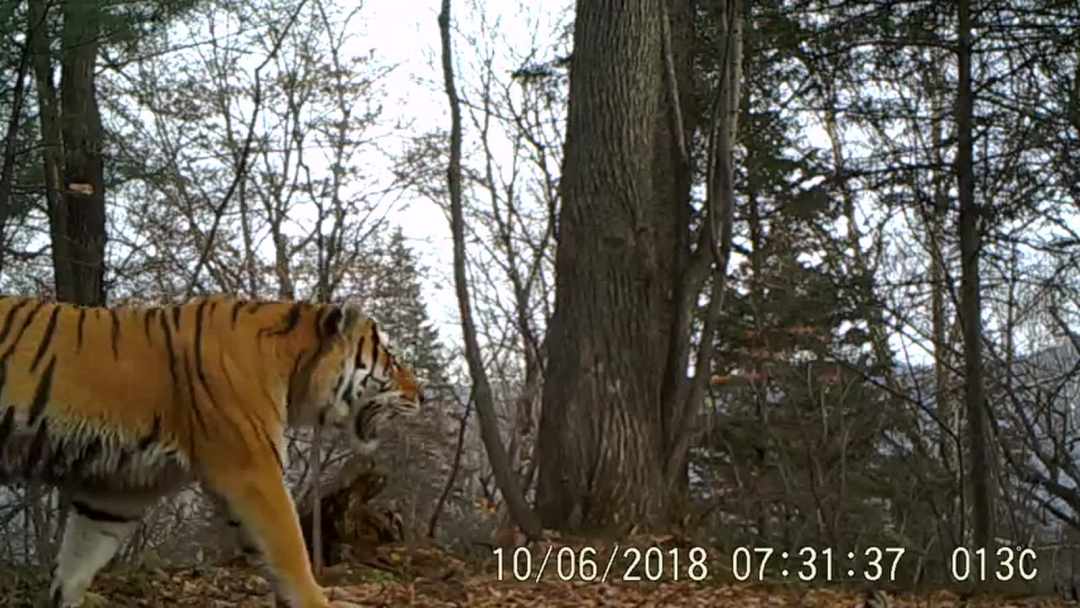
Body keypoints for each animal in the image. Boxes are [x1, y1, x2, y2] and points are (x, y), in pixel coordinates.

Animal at [0, 295, 425, 608]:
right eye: (392, 363)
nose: (422, 395)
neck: (293, 368)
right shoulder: (252, 471)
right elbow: (291, 552)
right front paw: (314, 600)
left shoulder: (118, 492)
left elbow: (77, 563)